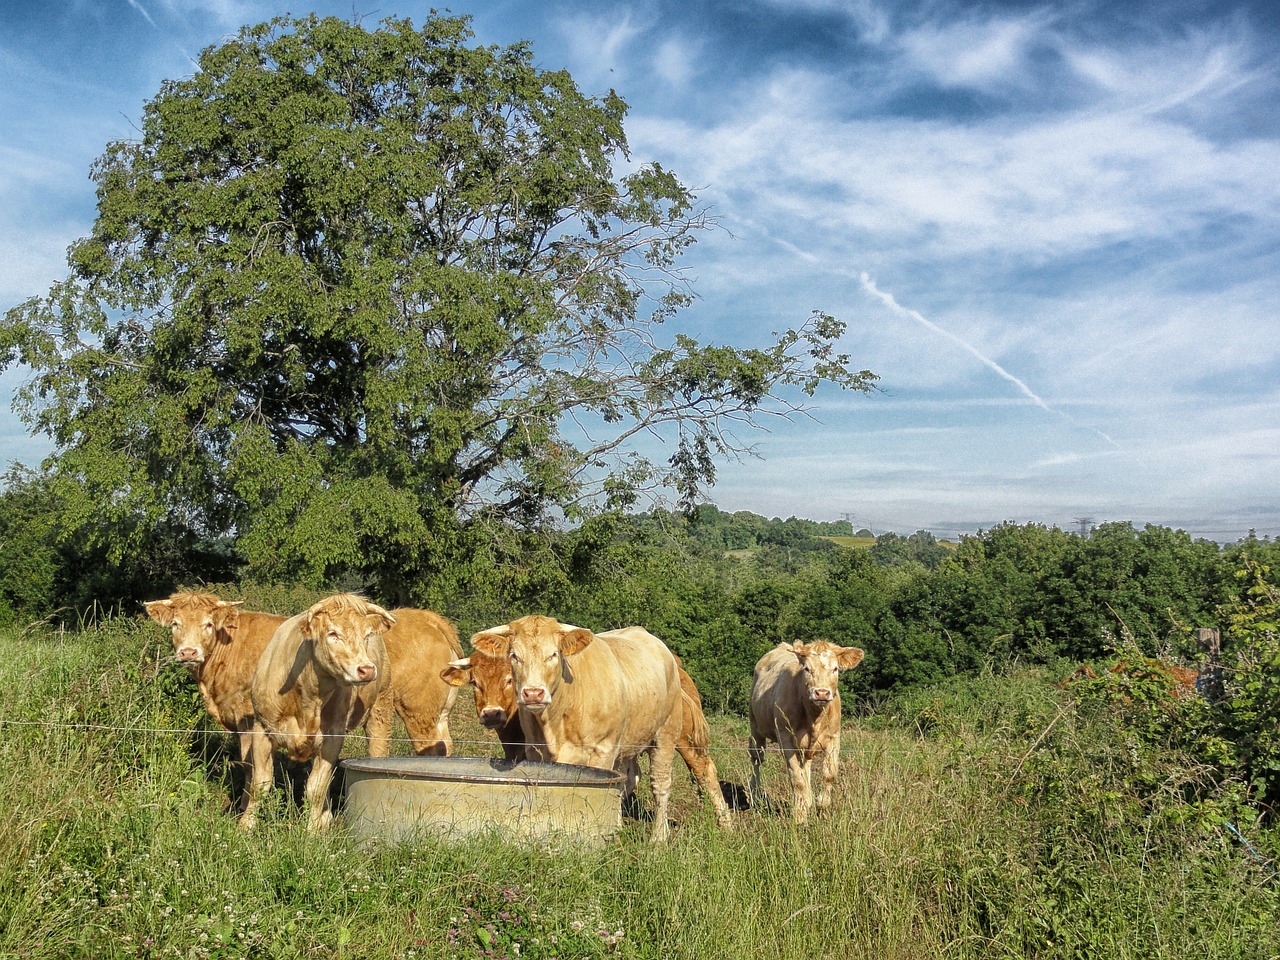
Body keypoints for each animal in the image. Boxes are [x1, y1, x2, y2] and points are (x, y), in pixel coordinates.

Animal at [471, 619, 686, 844]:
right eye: (514, 655)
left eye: (554, 654)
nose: (533, 693)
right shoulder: (535, 752)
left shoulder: (602, 750)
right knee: (628, 779)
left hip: (665, 734)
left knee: (660, 784)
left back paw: (659, 837)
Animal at [747, 642, 870, 824]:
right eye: (806, 668)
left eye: (835, 668)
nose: (822, 693)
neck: (815, 718)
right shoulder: (786, 738)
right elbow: (797, 780)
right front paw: (800, 814)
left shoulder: (834, 737)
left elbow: (829, 775)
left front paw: (820, 806)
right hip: (755, 725)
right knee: (757, 759)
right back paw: (756, 795)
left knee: (805, 766)